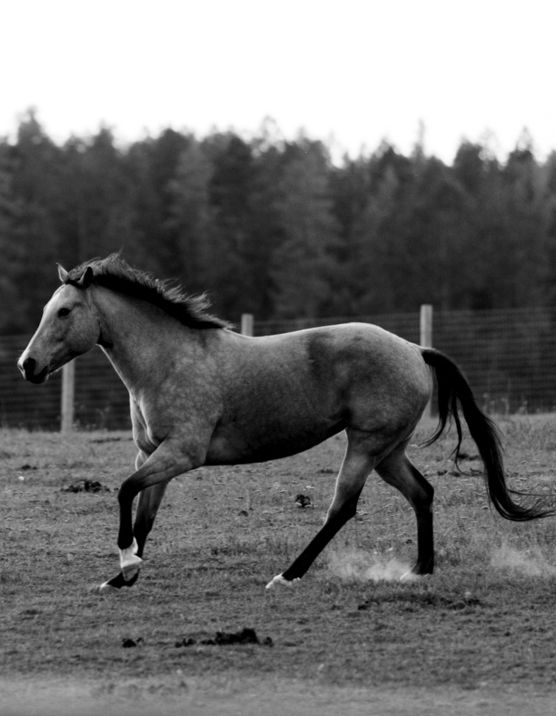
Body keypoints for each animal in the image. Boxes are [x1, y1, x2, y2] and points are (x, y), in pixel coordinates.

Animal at [17, 254, 554, 591]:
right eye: (47, 309)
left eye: (65, 311)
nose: (27, 366)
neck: (169, 361)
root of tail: (414, 349)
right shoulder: (152, 454)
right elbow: (143, 512)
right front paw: (121, 575)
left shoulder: (182, 454)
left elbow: (125, 492)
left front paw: (127, 563)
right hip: (389, 451)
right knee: (422, 493)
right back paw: (419, 571)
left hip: (365, 445)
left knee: (341, 508)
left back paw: (288, 575)